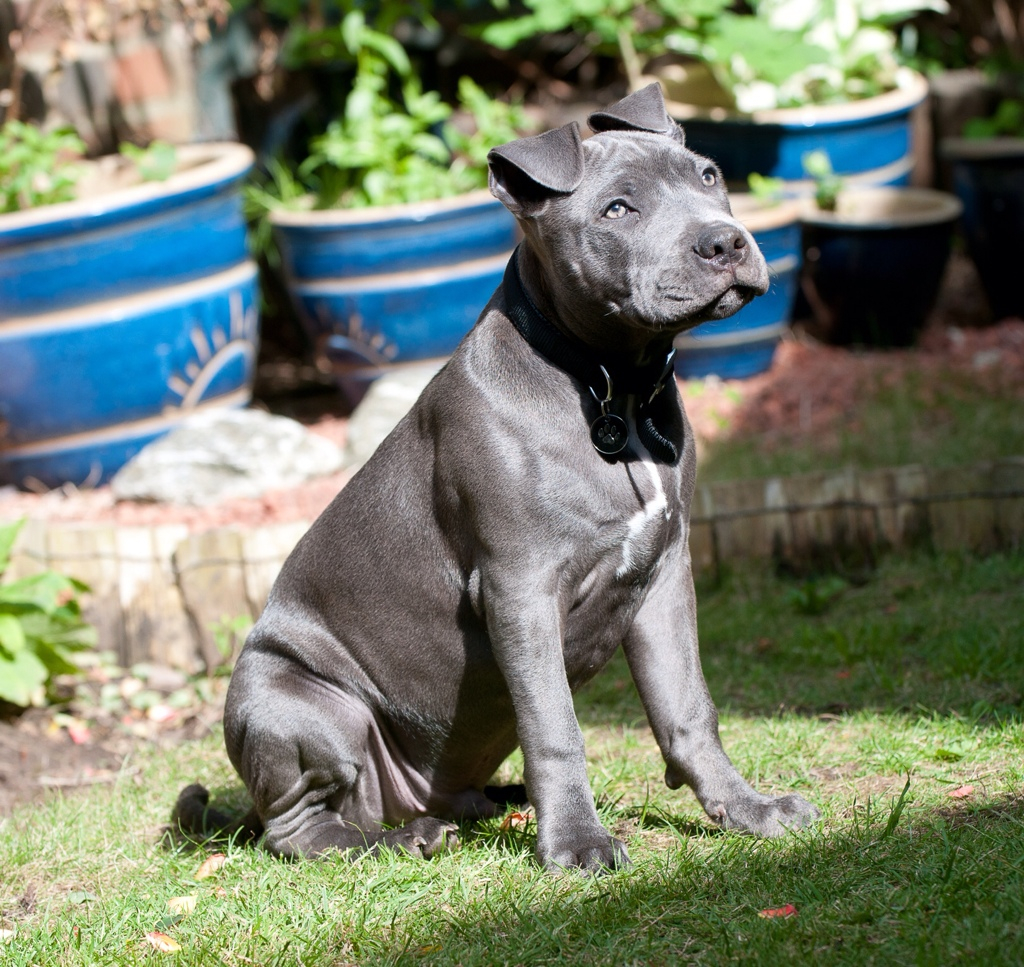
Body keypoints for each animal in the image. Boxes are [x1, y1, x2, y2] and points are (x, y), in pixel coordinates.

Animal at [174, 81, 815, 868]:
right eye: (617, 209)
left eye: (709, 176)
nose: (725, 241)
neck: (614, 387)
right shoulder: (519, 587)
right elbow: (554, 726)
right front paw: (576, 843)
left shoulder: (664, 573)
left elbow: (689, 707)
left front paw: (750, 810)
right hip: (296, 700)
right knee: (304, 831)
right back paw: (406, 837)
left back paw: (486, 803)